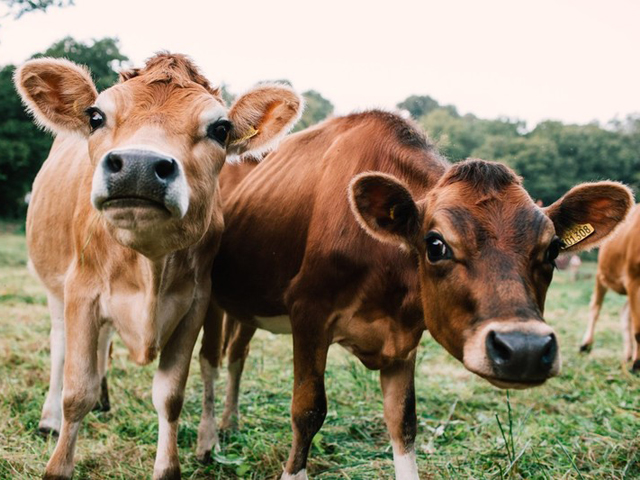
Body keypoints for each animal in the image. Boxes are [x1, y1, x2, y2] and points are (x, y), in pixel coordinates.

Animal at [16, 53, 302, 480]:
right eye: (96, 116)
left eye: (220, 129)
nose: (138, 165)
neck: (147, 266)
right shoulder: (81, 292)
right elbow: (76, 391)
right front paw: (58, 464)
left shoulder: (194, 305)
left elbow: (170, 396)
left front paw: (168, 466)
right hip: (54, 287)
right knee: (59, 345)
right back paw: (50, 418)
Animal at [580, 202, 640, 372]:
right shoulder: (633, 278)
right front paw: (637, 364)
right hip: (601, 275)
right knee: (595, 307)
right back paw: (586, 345)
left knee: (625, 313)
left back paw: (628, 355)